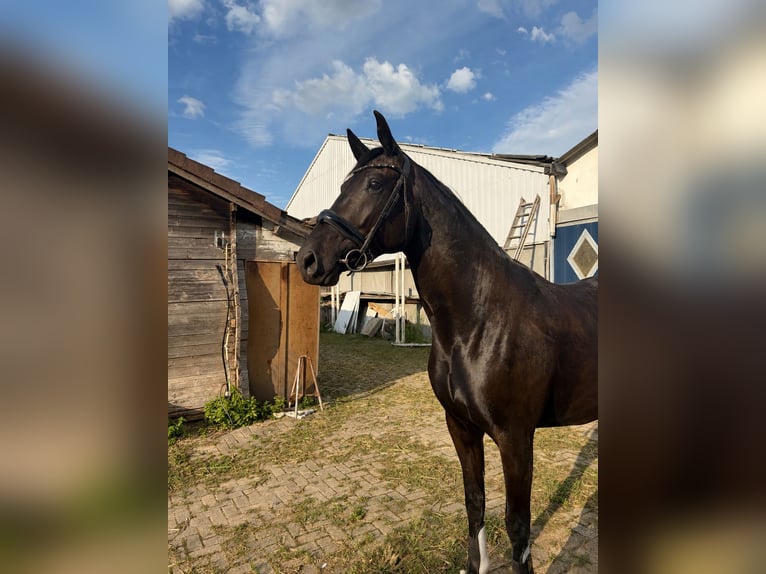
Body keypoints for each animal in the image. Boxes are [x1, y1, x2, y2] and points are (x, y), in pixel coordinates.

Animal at [296, 111, 597, 574]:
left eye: (375, 184)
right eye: (344, 185)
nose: (308, 259)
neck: (477, 322)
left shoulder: (515, 437)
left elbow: (518, 526)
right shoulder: (460, 427)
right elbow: (475, 504)